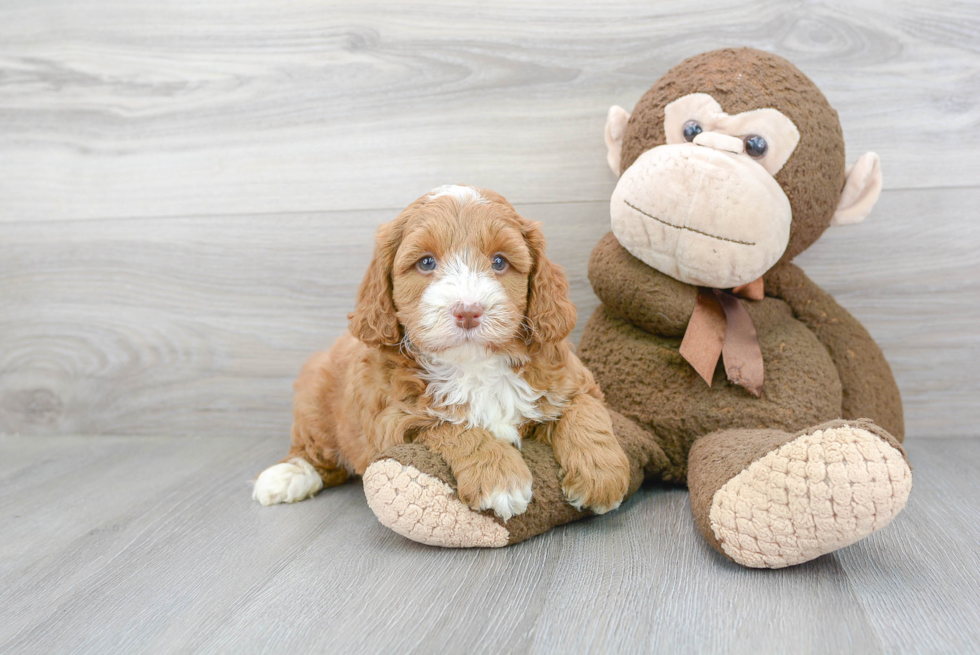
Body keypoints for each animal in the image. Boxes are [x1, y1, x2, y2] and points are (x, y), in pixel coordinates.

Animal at [255, 186, 628, 524]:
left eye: (499, 262)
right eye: (426, 262)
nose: (468, 311)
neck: (474, 365)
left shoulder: (570, 378)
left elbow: (584, 410)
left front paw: (603, 475)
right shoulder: (396, 419)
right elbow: (453, 426)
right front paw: (501, 480)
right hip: (314, 399)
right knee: (314, 451)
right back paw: (284, 478)